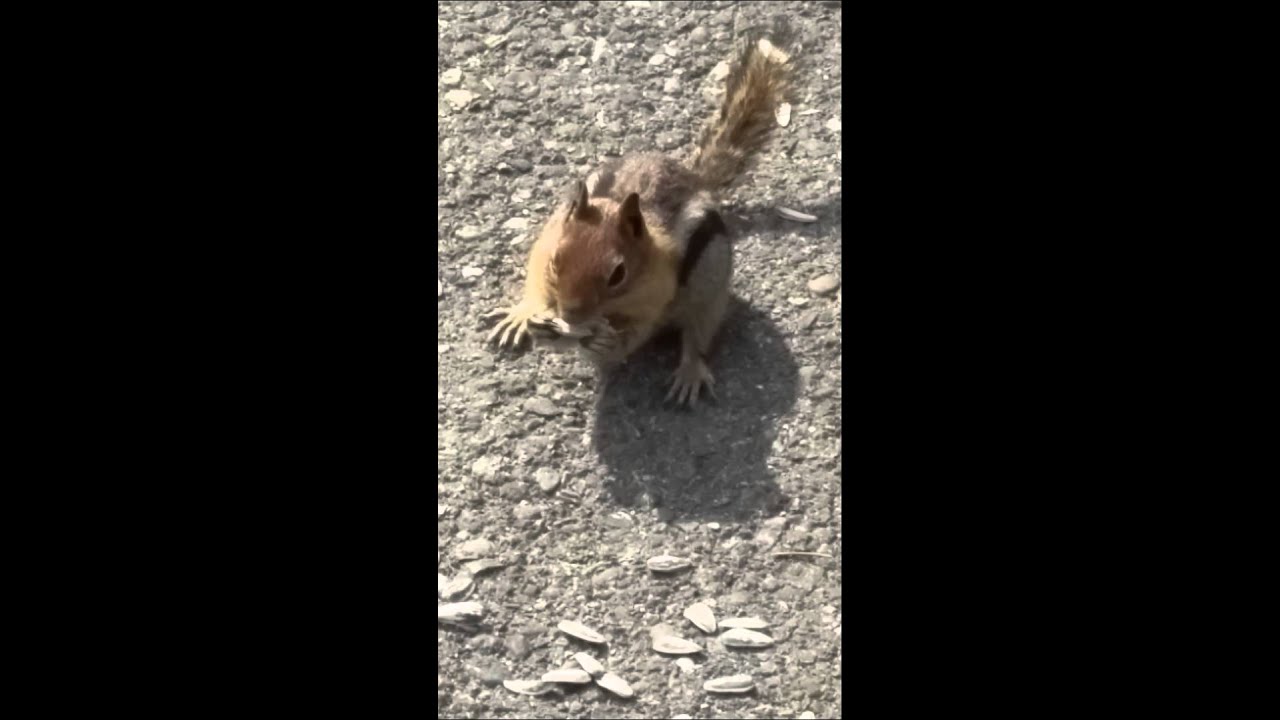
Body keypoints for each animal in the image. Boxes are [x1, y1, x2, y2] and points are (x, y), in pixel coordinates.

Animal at [486, 22, 794, 407]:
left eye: (618, 274)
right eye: (556, 263)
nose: (570, 313)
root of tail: (694, 177)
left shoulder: (653, 299)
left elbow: (628, 341)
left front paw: (603, 339)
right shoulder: (543, 249)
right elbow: (535, 287)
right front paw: (526, 314)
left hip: (711, 288)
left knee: (698, 332)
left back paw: (689, 372)